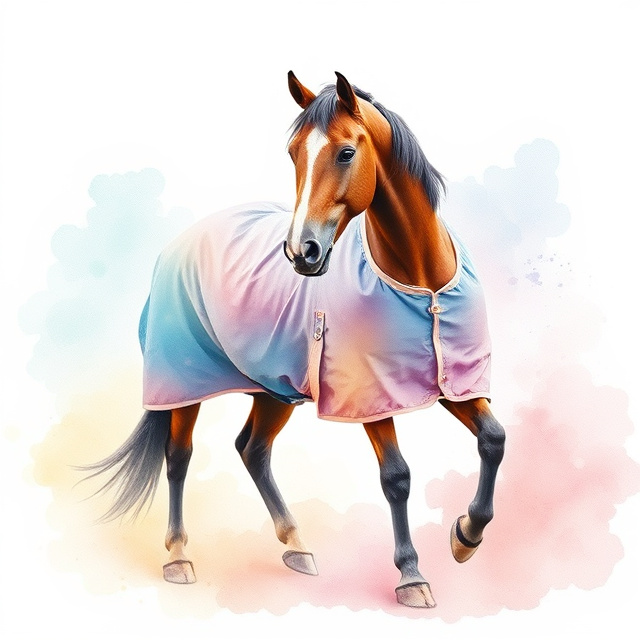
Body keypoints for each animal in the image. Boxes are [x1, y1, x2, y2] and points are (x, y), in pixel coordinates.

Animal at [84, 71, 506, 609]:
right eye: (292, 153)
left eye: (345, 153)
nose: (301, 252)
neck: (421, 282)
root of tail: (177, 244)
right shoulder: (368, 399)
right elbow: (396, 478)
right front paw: (412, 576)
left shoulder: (457, 384)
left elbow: (494, 440)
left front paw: (466, 535)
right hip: (183, 387)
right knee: (178, 457)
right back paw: (178, 557)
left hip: (273, 388)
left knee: (252, 449)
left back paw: (297, 546)